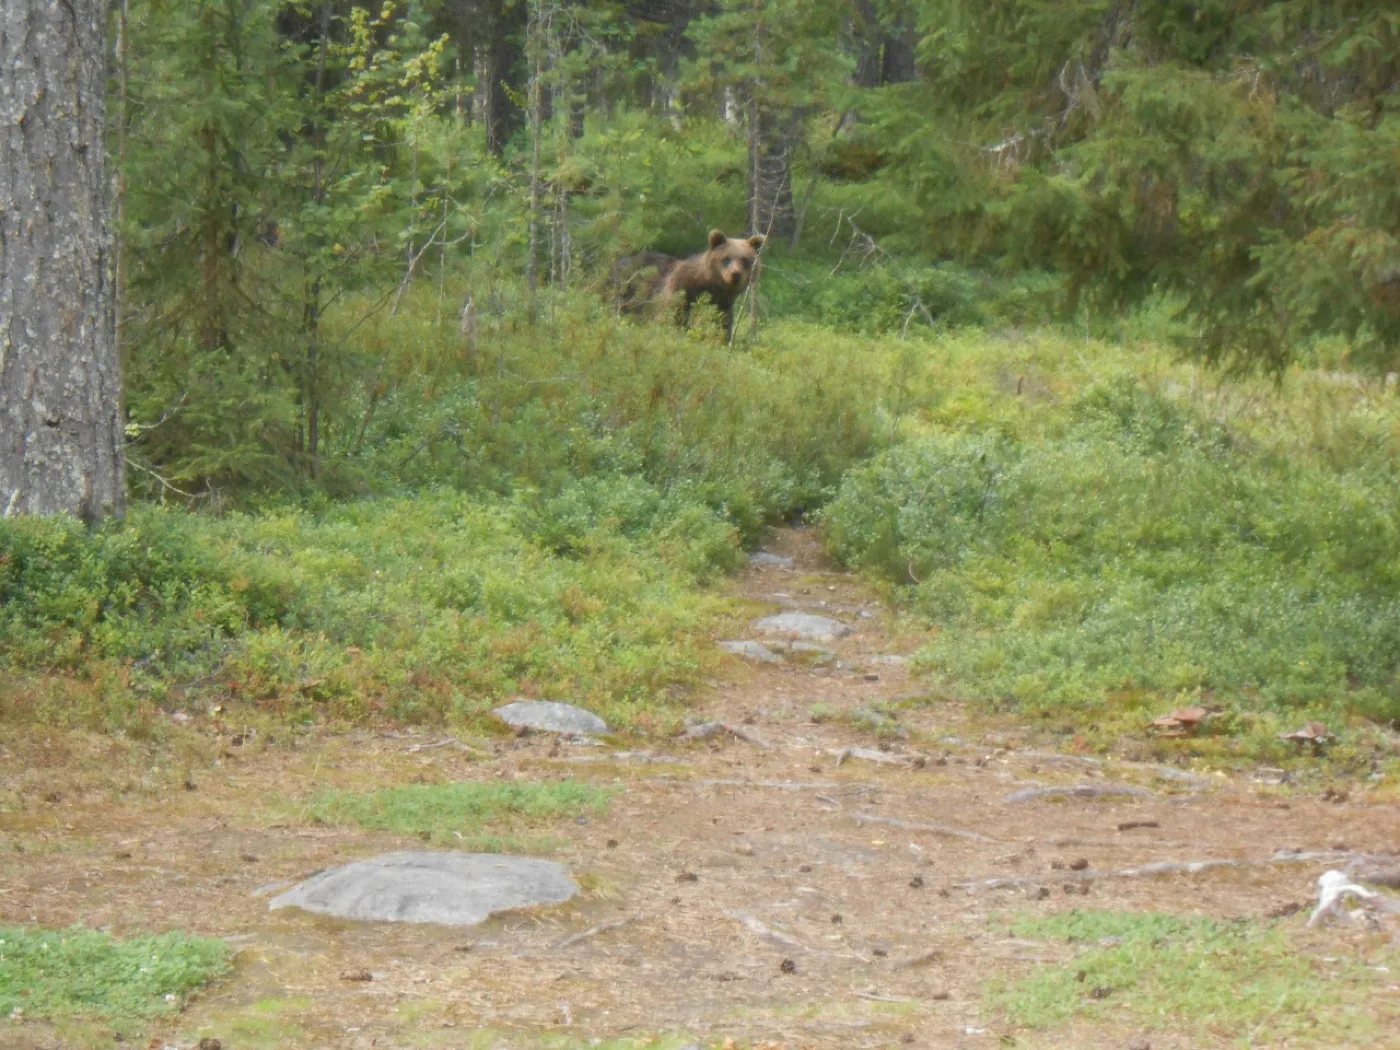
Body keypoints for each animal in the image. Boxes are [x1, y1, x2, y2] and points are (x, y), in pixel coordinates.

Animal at [614, 229, 766, 340]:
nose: (735, 274)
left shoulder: (723, 303)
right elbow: (673, 314)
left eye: (745, 260)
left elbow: (723, 323)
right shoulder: (681, 287)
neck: (710, 285)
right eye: (726, 258)